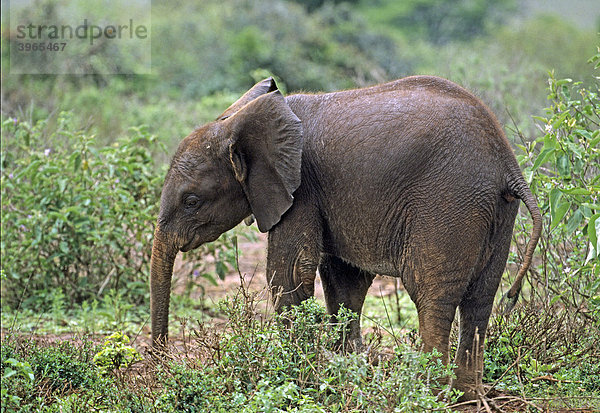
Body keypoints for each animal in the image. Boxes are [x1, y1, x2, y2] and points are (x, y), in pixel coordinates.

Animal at [149, 75, 540, 400]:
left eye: (191, 201)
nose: (161, 361)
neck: (238, 121)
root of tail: (507, 164)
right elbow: (343, 281)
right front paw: (347, 373)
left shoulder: (301, 189)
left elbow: (289, 275)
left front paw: (298, 377)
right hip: (497, 212)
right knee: (480, 299)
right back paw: (466, 395)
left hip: (449, 202)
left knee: (432, 294)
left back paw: (428, 392)